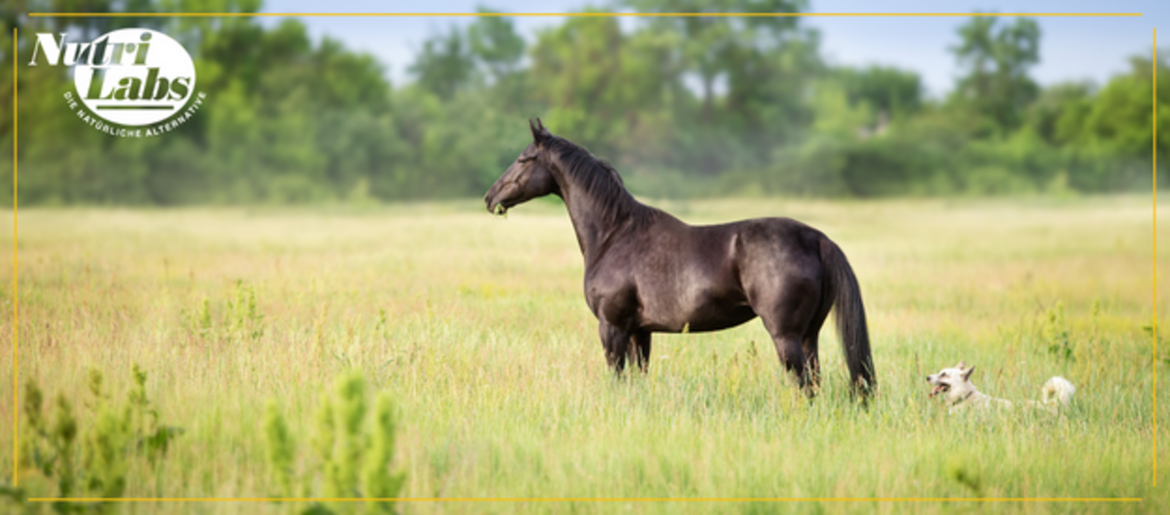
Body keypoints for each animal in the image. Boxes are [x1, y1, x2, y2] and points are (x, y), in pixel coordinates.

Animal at [484, 117, 879, 397]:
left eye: (523, 159)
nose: (490, 197)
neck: (615, 234)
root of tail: (816, 238)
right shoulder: (639, 332)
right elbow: (637, 380)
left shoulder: (612, 327)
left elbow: (617, 378)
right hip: (809, 335)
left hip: (786, 336)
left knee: (803, 385)